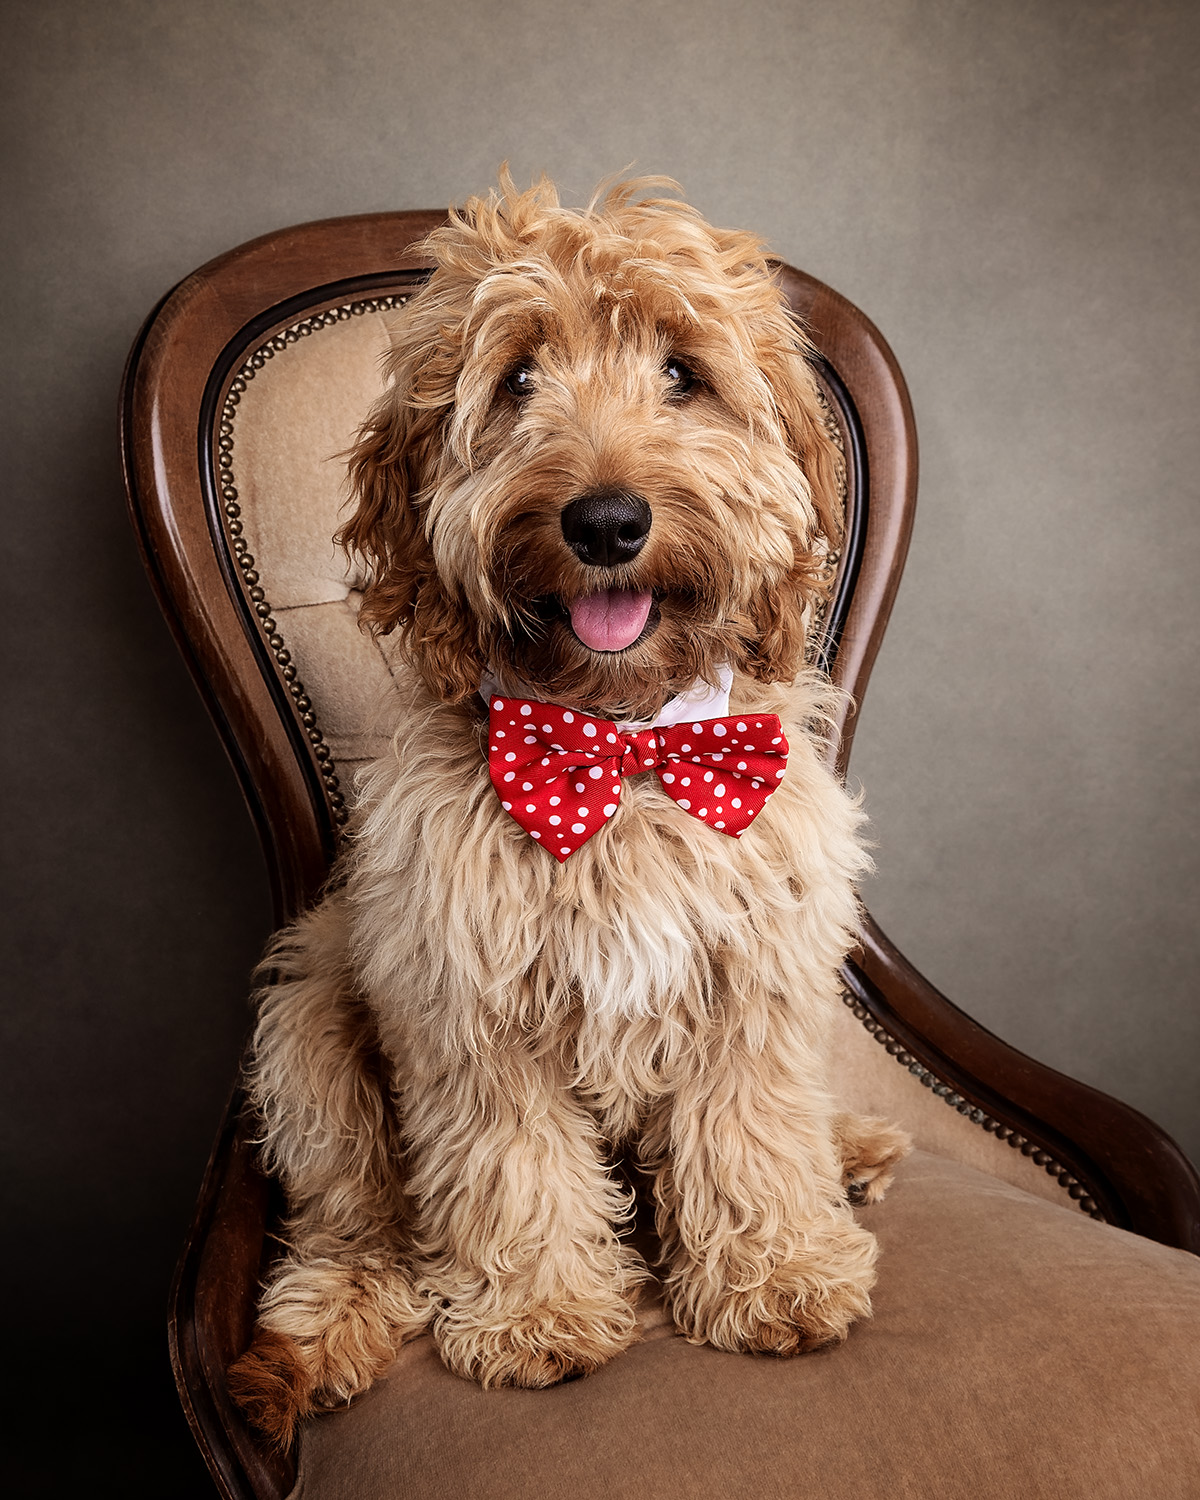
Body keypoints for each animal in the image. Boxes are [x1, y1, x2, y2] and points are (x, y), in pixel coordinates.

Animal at [229, 170, 912, 1446]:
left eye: (683, 373)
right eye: (516, 381)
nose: (604, 522)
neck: (623, 750)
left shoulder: (754, 977)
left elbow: (751, 1131)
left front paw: (779, 1276)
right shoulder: (467, 1001)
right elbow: (514, 1165)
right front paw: (539, 1317)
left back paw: (844, 1150)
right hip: (309, 1022)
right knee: (353, 1222)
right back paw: (332, 1315)